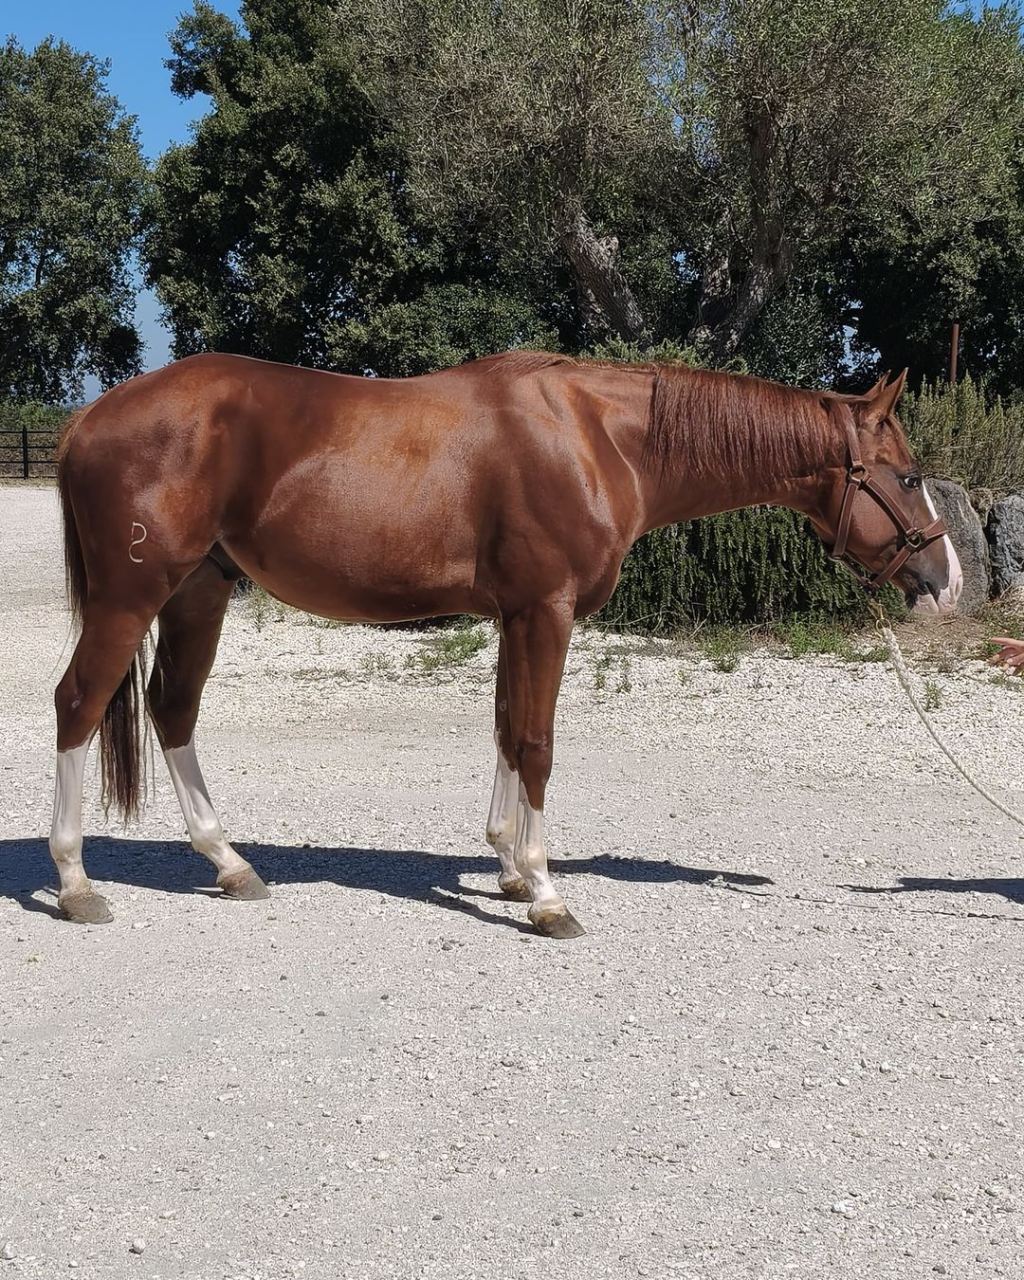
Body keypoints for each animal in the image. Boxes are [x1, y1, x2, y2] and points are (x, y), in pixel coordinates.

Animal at [49, 351, 962, 935]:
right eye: (909, 476)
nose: (947, 579)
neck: (597, 437)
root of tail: (89, 416)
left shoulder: (515, 615)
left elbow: (504, 730)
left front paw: (512, 868)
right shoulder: (546, 611)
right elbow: (537, 742)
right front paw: (549, 896)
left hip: (200, 592)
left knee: (173, 709)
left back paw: (230, 864)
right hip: (132, 597)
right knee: (79, 704)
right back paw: (76, 882)